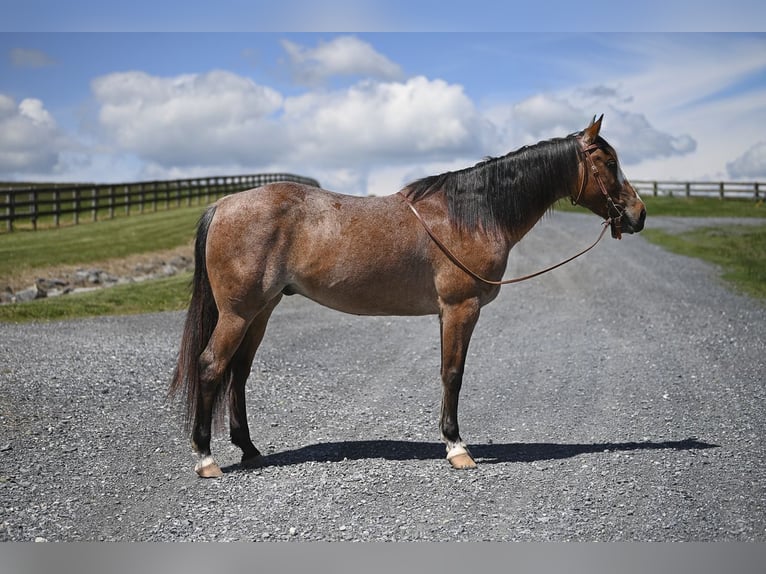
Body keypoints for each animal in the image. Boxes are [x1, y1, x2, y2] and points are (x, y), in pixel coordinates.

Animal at [168, 115, 646, 478]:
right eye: (608, 161)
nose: (638, 214)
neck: (471, 214)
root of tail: (224, 204)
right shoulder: (460, 309)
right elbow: (453, 374)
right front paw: (456, 448)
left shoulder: (446, 313)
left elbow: (446, 372)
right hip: (238, 313)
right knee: (211, 367)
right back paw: (206, 458)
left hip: (261, 311)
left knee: (239, 373)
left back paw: (249, 450)